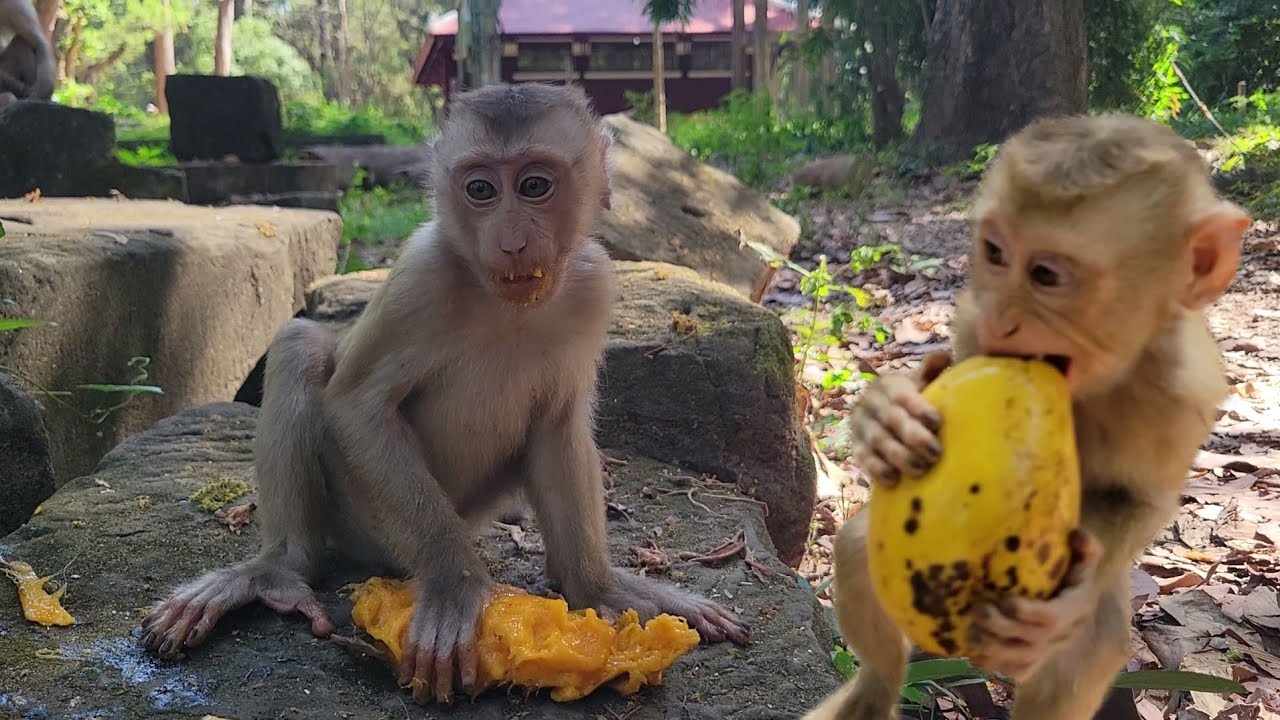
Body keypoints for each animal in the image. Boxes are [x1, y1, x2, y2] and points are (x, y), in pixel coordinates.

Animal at [139, 82, 750, 706]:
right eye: (480, 190)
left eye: (534, 186)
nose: (511, 241)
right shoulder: (421, 273)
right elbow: (357, 406)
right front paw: (457, 585)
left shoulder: (594, 285)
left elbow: (558, 427)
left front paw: (599, 588)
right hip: (365, 521)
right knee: (300, 344)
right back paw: (279, 569)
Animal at [803, 114, 1251, 720]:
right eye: (994, 252)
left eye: (1045, 275)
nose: (1001, 317)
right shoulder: (971, 322)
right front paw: (886, 415)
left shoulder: (1180, 395)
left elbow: (1142, 501)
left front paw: (1071, 596)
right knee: (855, 548)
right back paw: (872, 694)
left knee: (1093, 640)